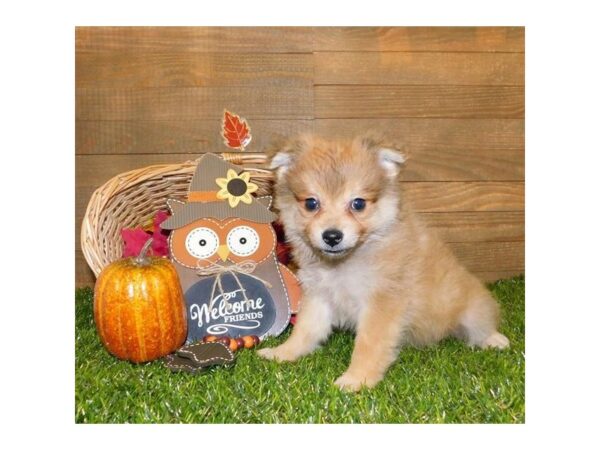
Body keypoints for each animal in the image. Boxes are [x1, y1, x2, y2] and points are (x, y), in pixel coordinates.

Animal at [255, 133, 508, 390]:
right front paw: (282, 353)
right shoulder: (319, 296)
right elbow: (305, 331)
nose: (332, 236)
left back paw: (495, 339)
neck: (344, 264)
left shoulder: (382, 302)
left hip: (472, 310)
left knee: (481, 326)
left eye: (358, 203)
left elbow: (368, 344)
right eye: (311, 203)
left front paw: (357, 379)